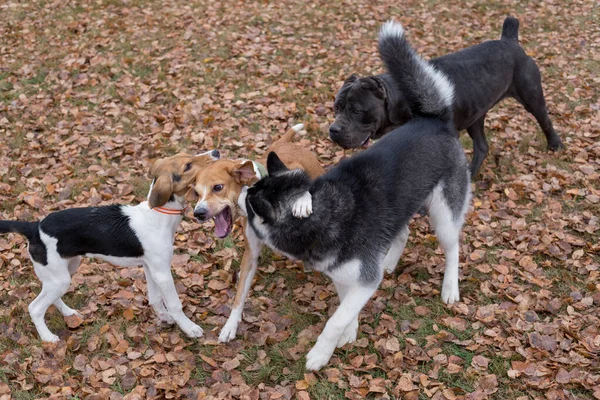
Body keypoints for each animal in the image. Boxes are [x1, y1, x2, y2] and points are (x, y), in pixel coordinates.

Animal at [0, 150, 219, 340]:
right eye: (188, 166)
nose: (216, 152)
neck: (159, 215)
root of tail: (34, 227)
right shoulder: (162, 272)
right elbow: (174, 303)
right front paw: (189, 327)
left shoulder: (151, 267)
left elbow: (155, 298)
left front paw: (164, 317)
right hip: (58, 278)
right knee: (35, 308)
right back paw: (48, 338)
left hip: (66, 270)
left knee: (51, 297)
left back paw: (68, 313)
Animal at [237, 20, 472, 370]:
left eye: (251, 200)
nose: (238, 190)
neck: (324, 213)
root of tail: (435, 120)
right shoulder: (344, 276)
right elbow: (344, 306)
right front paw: (351, 330)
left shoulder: (364, 280)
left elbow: (335, 319)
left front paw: (321, 353)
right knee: (401, 233)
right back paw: (389, 262)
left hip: (443, 214)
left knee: (453, 247)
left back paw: (450, 287)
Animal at [330, 16, 564, 177]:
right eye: (336, 108)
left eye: (356, 111)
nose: (333, 130)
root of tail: (510, 40)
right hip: (475, 116)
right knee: (482, 146)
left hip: (531, 96)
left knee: (545, 120)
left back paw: (555, 145)